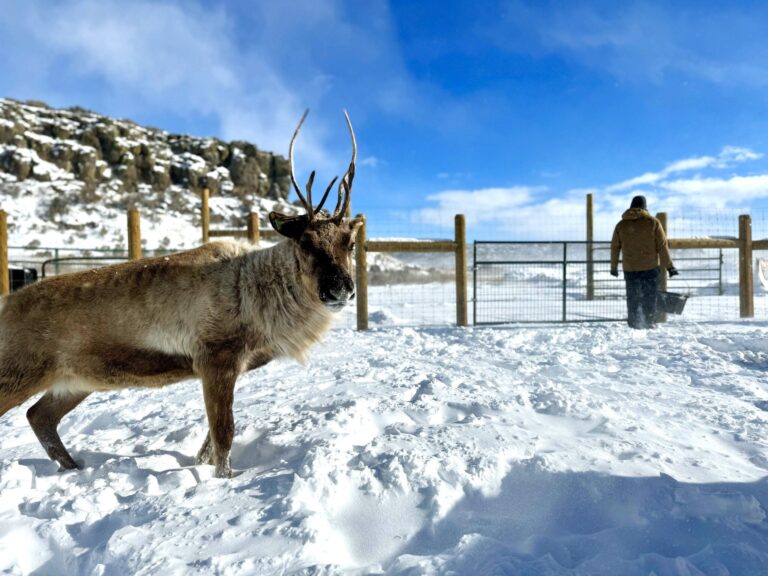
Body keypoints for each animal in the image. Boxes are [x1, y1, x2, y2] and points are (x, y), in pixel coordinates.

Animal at [0, 110, 363, 478]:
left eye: (350, 243)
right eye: (305, 242)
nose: (340, 288)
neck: (259, 296)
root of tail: (7, 304)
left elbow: (209, 443)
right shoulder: (215, 358)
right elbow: (223, 434)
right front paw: (225, 479)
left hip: (76, 381)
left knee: (39, 416)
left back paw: (75, 468)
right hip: (20, 371)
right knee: (34, 413)